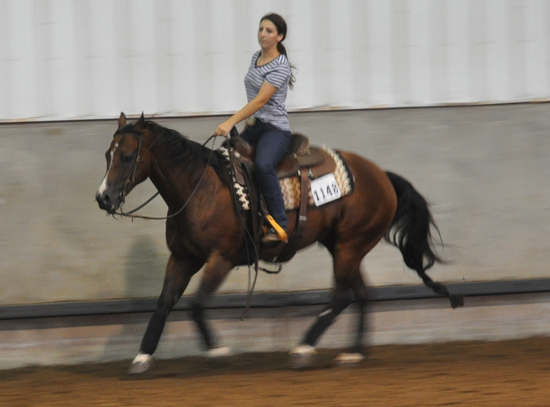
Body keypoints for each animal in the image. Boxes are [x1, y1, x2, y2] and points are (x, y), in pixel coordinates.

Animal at [96, 113, 466, 374]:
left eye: (127, 156)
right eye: (107, 155)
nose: (103, 198)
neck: (199, 189)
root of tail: (382, 176)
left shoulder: (221, 259)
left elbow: (196, 305)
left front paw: (218, 351)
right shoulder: (183, 258)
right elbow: (163, 305)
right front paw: (142, 357)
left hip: (350, 246)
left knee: (342, 295)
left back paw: (304, 349)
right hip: (344, 246)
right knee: (361, 293)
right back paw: (353, 353)